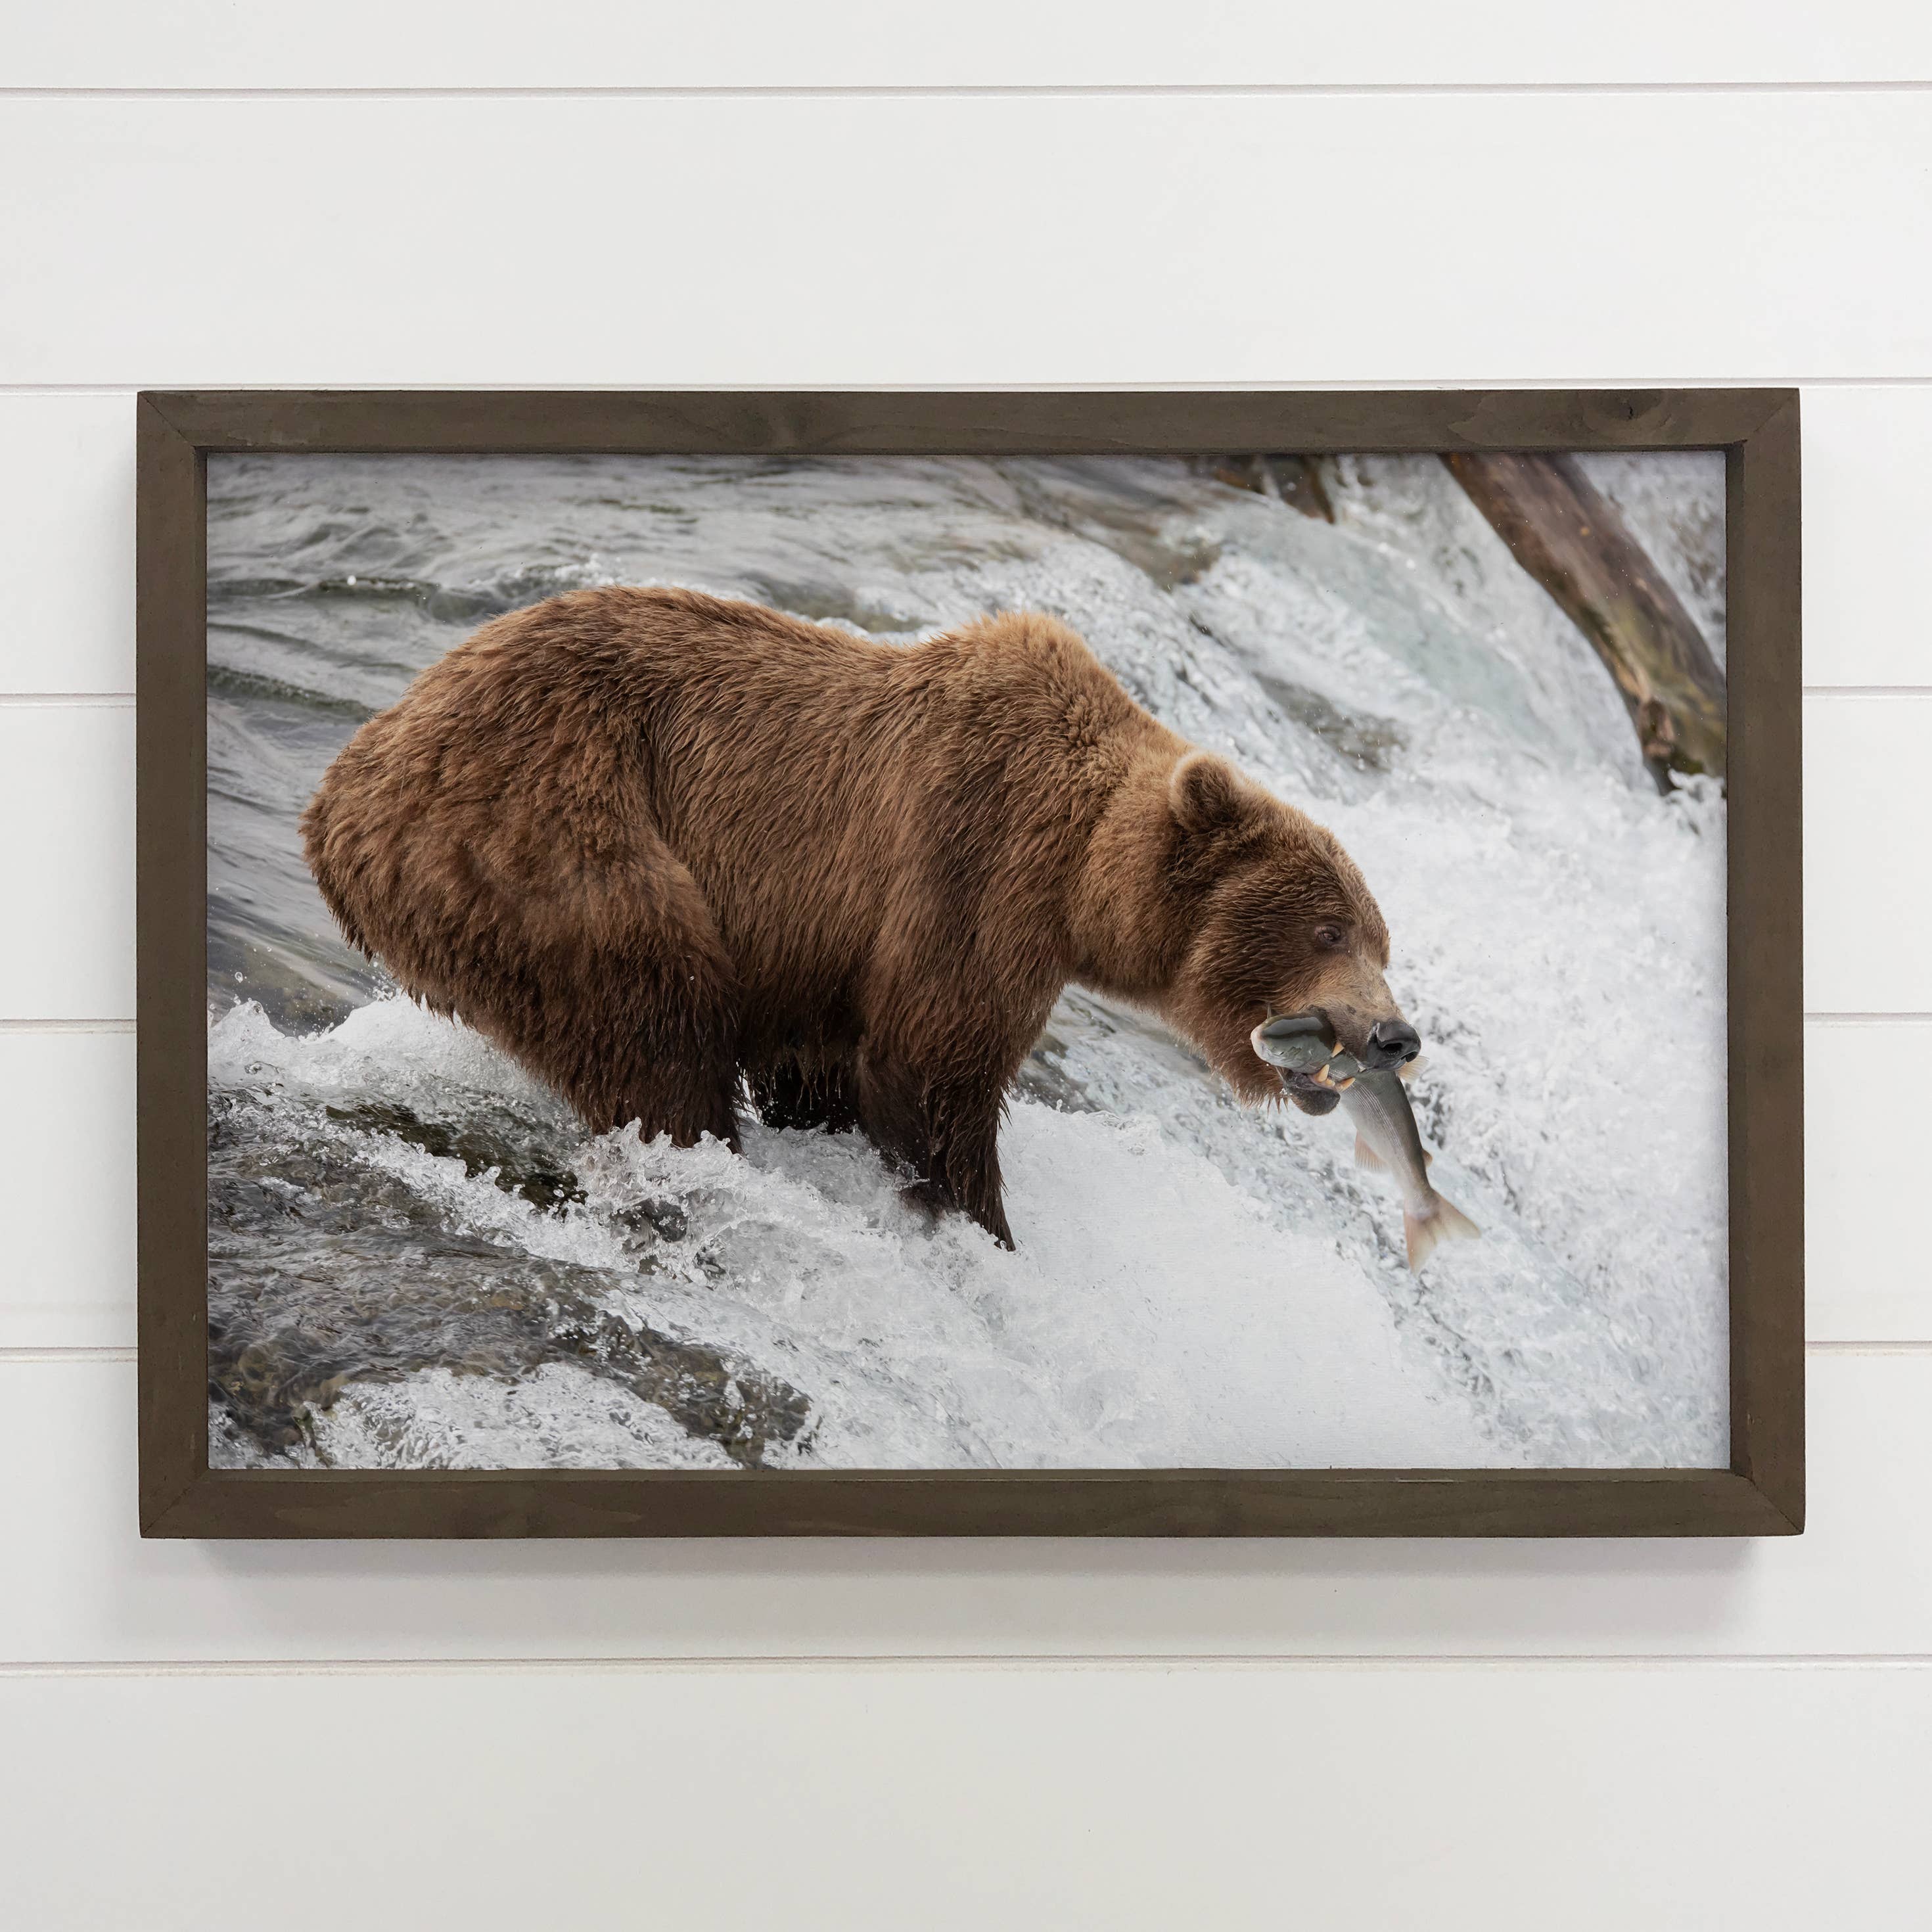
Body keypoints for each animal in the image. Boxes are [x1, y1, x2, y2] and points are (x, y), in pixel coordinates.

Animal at [305, 587, 1421, 1244]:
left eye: (1381, 938)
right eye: (1329, 929)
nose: (1395, 1036)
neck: (1081, 877)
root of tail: (341, 790)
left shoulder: (824, 953)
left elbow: (828, 1065)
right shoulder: (972, 867)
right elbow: (933, 1071)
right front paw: (979, 1225)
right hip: (548, 832)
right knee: (653, 1021)